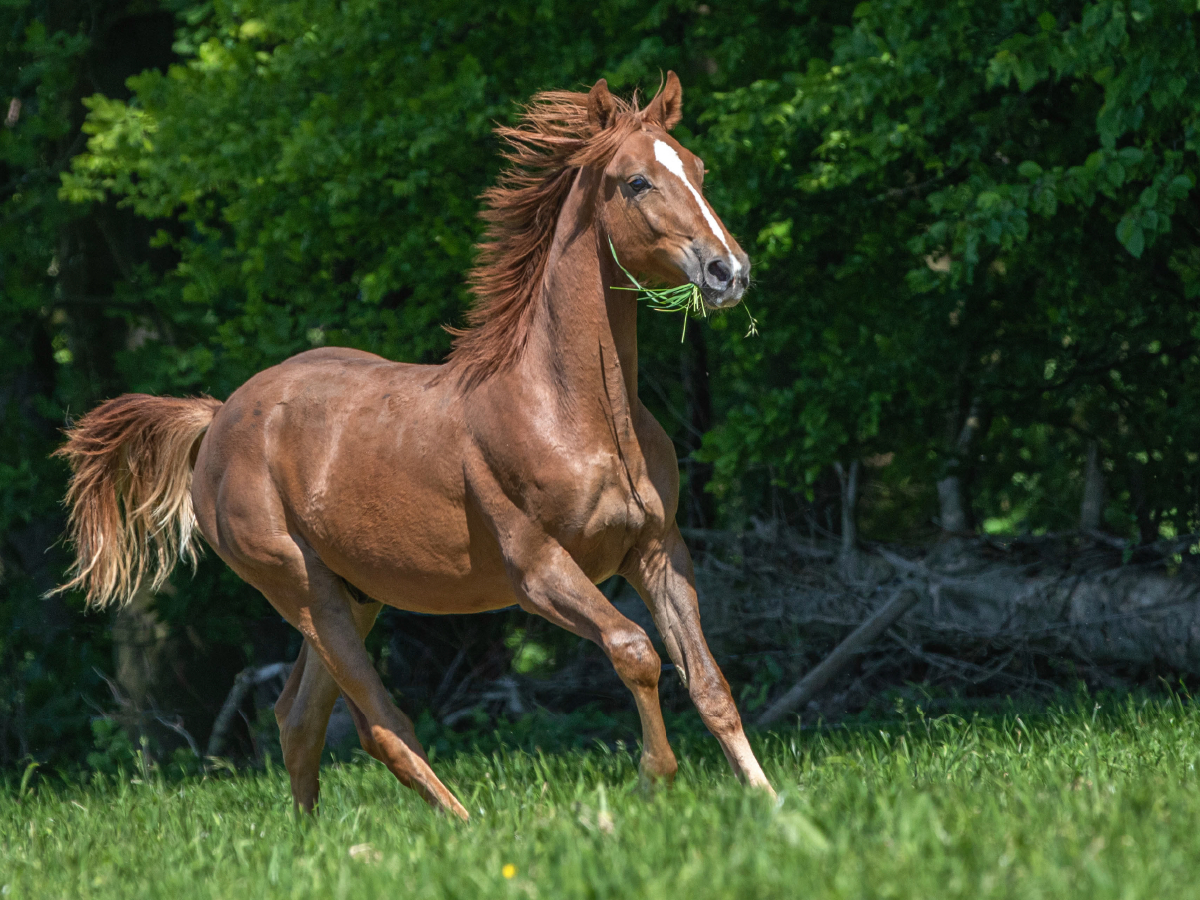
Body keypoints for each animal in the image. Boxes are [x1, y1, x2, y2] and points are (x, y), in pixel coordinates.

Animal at [56, 74, 772, 820]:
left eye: (697, 169)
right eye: (636, 181)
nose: (729, 271)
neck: (577, 413)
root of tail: (219, 414)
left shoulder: (657, 550)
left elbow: (710, 685)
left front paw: (772, 804)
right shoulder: (539, 570)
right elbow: (635, 651)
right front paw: (652, 779)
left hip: (356, 594)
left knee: (297, 717)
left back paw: (315, 835)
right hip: (303, 589)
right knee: (379, 725)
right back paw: (462, 824)